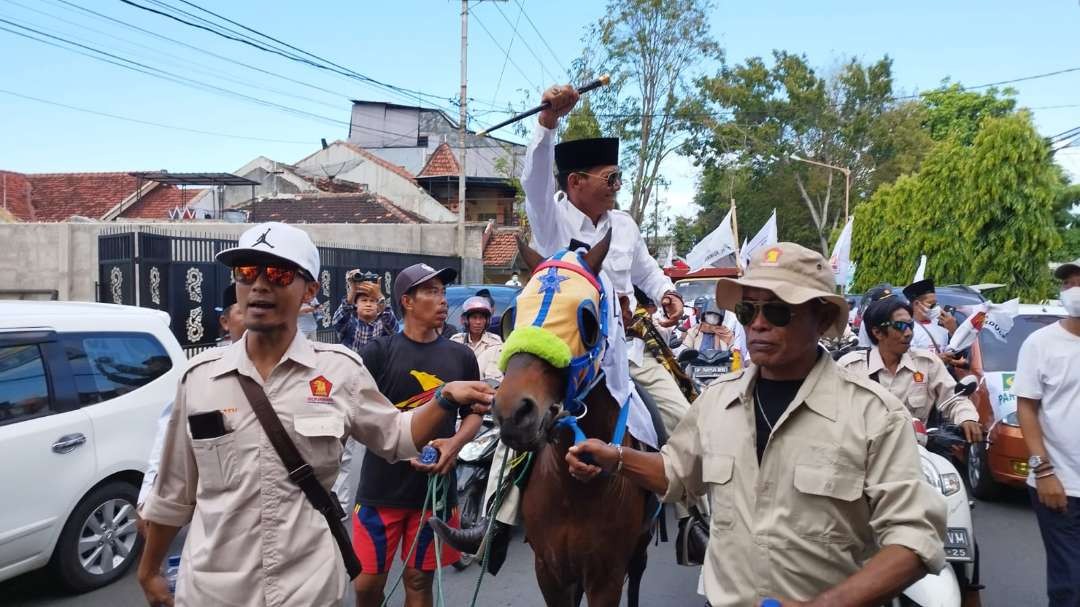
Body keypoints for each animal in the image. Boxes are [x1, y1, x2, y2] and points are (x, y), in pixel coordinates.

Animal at [494, 232, 648, 604]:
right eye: (512, 316)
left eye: (588, 322)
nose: (513, 411)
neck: (574, 490)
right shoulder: (549, 571)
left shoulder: (607, 578)